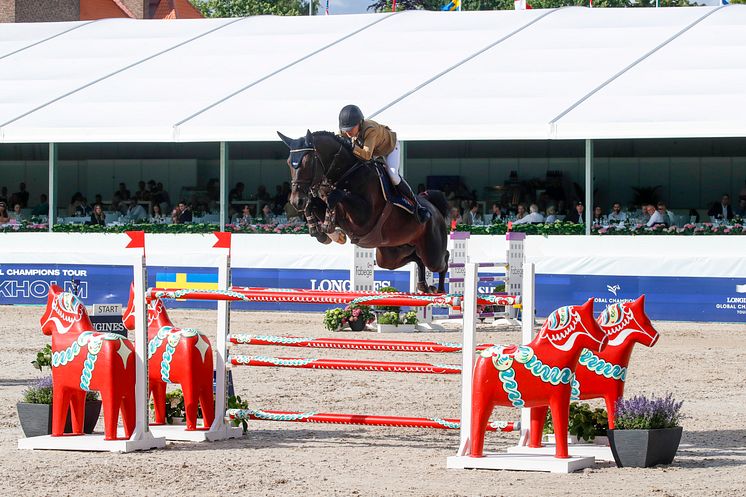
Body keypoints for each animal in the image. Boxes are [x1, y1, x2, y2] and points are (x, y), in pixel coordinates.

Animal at [40, 284, 135, 440]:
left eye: (48, 306)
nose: (41, 322)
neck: (68, 332)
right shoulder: (78, 389)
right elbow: (78, 411)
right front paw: (78, 433)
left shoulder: (60, 386)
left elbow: (59, 412)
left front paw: (55, 435)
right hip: (128, 390)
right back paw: (129, 436)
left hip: (110, 390)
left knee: (111, 411)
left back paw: (110, 438)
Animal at [122, 284, 215, 432]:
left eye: (131, 302)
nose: (124, 320)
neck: (152, 327)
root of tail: (200, 342)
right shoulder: (159, 380)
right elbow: (159, 400)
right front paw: (159, 423)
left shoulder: (149, 380)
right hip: (207, 383)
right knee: (207, 404)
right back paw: (207, 427)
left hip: (189, 383)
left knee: (191, 402)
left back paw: (190, 428)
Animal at [274, 130, 444, 292]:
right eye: (289, 163)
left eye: (307, 162)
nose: (296, 201)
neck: (346, 174)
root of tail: (435, 210)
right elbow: (313, 205)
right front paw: (326, 234)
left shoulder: (365, 218)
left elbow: (335, 196)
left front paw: (329, 228)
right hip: (391, 254)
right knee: (416, 258)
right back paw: (423, 285)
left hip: (432, 253)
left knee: (442, 261)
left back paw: (440, 289)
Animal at [470, 298, 604, 458]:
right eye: (590, 321)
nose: (605, 340)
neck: (553, 354)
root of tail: (483, 356)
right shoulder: (559, 398)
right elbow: (561, 427)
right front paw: (563, 456)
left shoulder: (543, 401)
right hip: (482, 400)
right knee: (479, 423)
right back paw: (476, 455)